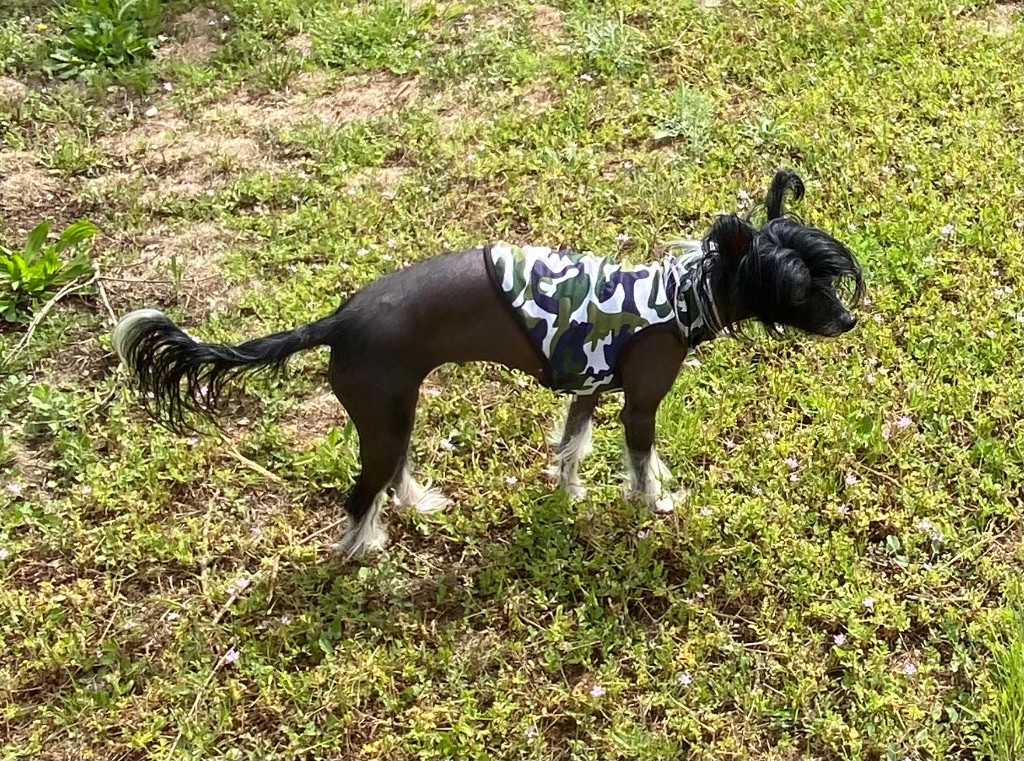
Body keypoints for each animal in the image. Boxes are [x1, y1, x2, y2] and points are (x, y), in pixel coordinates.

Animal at [112, 170, 864, 557]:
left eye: (828, 277)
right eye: (802, 289)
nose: (850, 320)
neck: (680, 295)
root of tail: (337, 319)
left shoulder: (589, 387)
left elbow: (571, 446)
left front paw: (569, 493)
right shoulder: (639, 403)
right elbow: (642, 463)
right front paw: (655, 503)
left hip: (395, 410)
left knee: (393, 474)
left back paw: (418, 504)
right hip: (382, 416)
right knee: (360, 496)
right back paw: (367, 556)